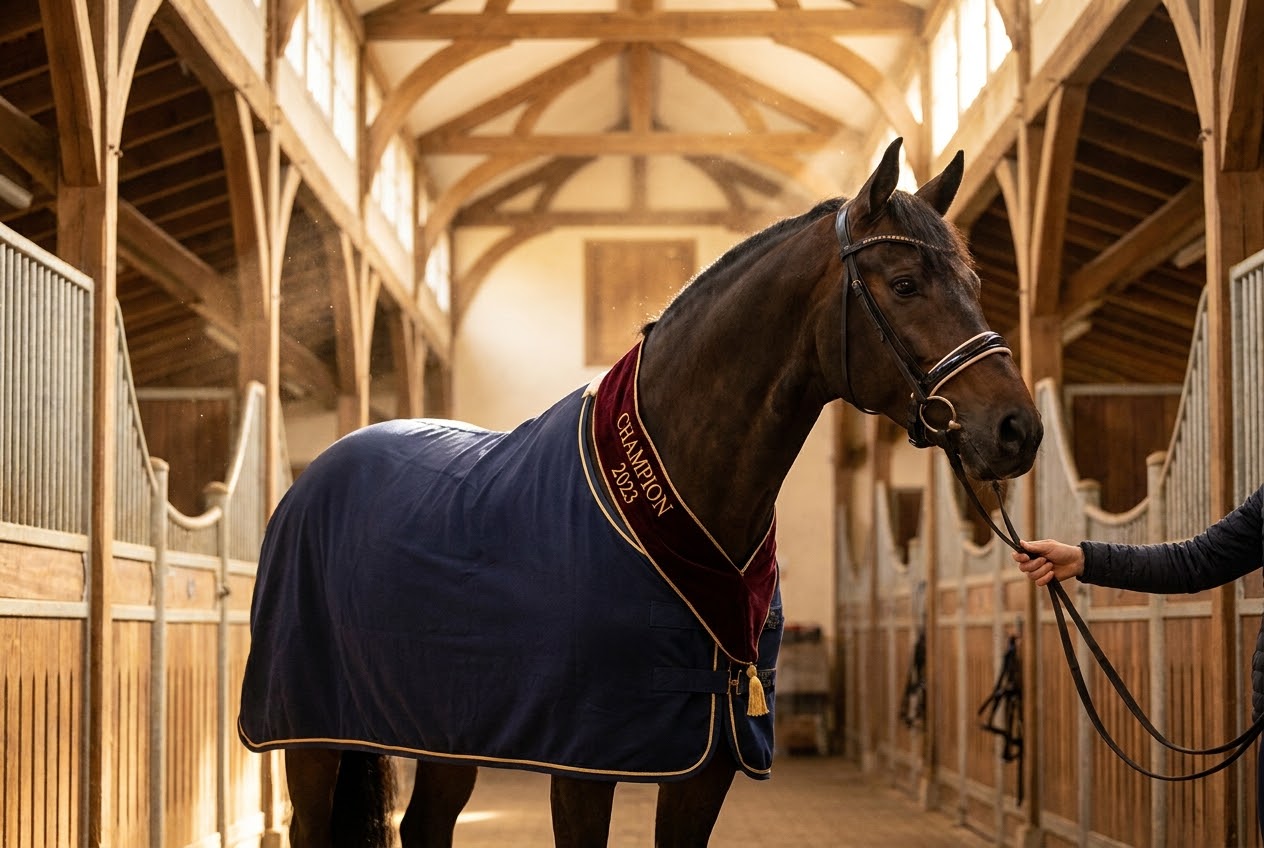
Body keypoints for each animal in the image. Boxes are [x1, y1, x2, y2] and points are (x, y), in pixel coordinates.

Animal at [237, 137, 1043, 847]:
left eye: (975, 285)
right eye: (905, 285)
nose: (1019, 429)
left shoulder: (710, 758)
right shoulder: (585, 759)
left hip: (444, 731)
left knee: (426, 827)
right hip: (310, 734)